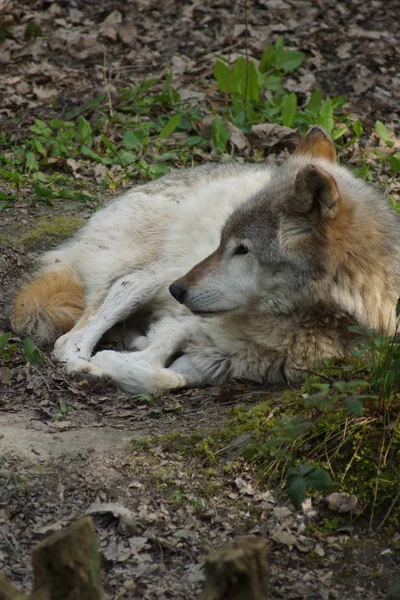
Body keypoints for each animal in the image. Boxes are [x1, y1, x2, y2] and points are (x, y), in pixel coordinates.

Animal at [10, 127, 400, 396]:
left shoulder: (221, 363)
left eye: (242, 249)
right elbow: (157, 368)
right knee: (70, 338)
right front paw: (105, 364)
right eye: (223, 241)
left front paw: (121, 359)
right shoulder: (185, 320)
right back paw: (85, 363)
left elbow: (166, 377)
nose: (178, 291)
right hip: (155, 274)